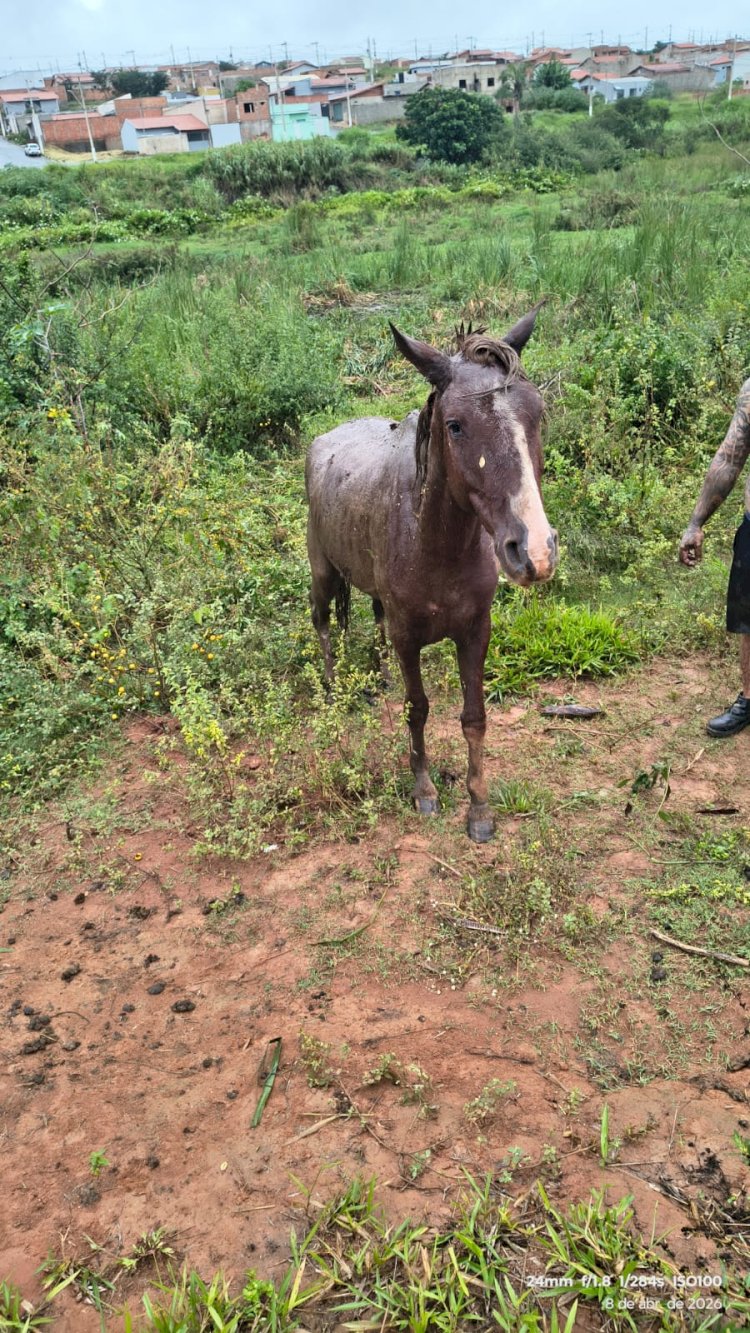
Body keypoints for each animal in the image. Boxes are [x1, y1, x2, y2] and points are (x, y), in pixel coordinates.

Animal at [305, 305, 558, 842]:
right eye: (456, 425)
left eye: (536, 413)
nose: (534, 551)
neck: (437, 546)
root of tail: (325, 440)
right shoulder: (408, 639)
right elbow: (416, 709)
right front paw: (423, 789)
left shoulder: (475, 632)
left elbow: (474, 717)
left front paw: (479, 807)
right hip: (323, 574)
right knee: (324, 625)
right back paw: (333, 689)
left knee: (372, 619)